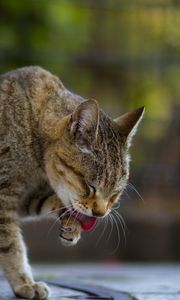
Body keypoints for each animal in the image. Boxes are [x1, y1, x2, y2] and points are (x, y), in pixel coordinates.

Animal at [0, 67, 144, 298]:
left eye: (115, 193)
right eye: (90, 185)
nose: (100, 214)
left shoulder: (25, 198)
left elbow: (55, 201)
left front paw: (71, 226)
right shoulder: (4, 197)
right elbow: (12, 245)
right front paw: (24, 283)